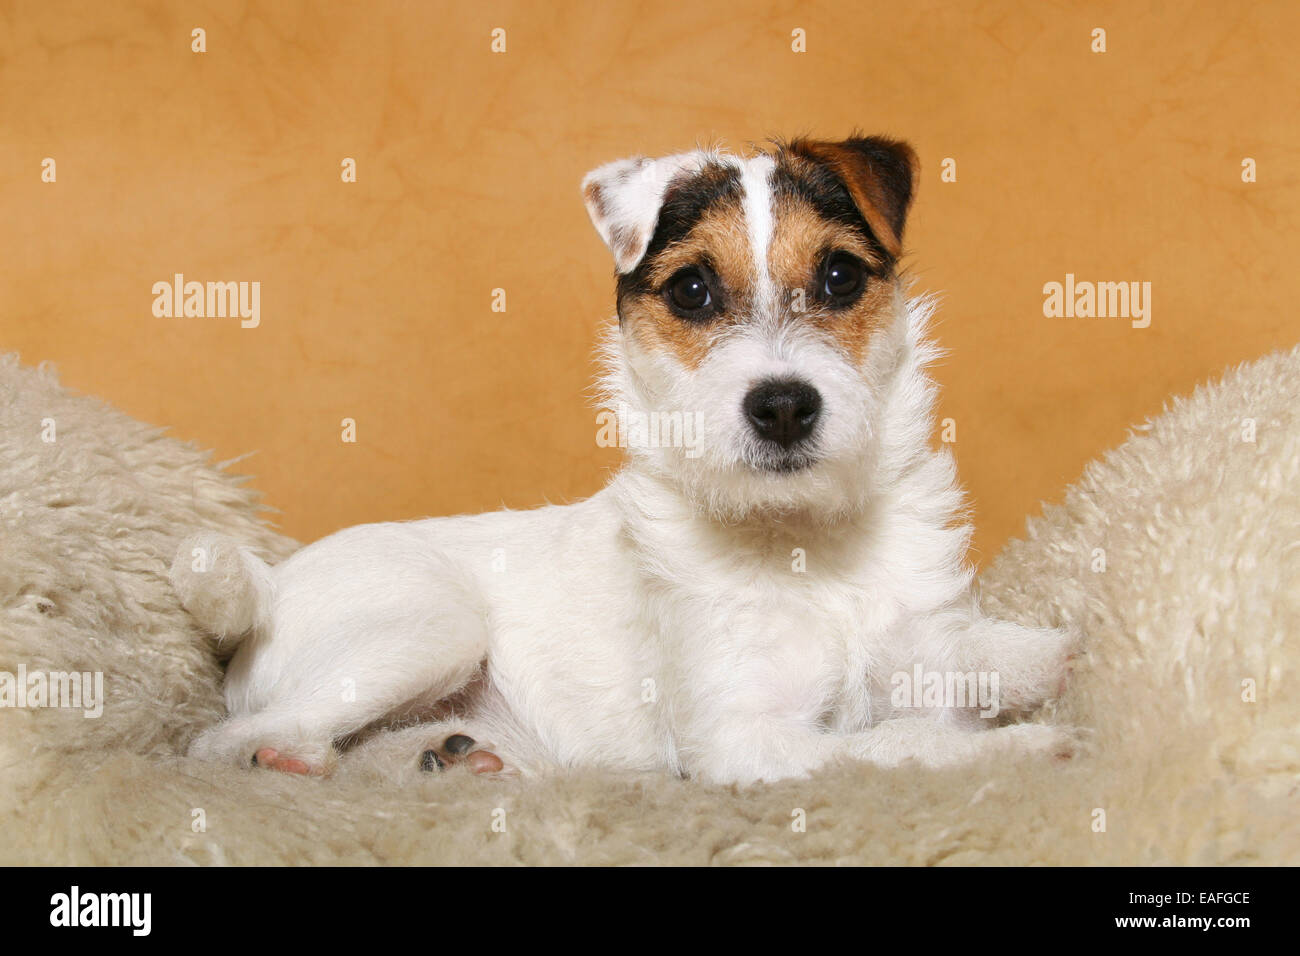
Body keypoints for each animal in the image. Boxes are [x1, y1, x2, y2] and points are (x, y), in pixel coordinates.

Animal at [170, 132, 1076, 785]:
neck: (802, 541)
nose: (784, 406)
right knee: (232, 738)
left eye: (840, 277)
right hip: (433, 625)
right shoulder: (743, 739)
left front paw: (1040, 655)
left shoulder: (909, 633)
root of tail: (268, 588)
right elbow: (898, 746)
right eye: (692, 291)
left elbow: (947, 651)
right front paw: (1017, 750)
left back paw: (455, 760)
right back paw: (291, 757)